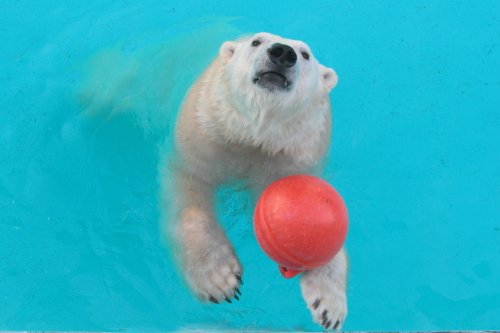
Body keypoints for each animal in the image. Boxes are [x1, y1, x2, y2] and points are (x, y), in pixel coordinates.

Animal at [172, 32, 348, 328]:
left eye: (305, 54)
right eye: (256, 41)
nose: (283, 53)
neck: (255, 137)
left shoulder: (297, 156)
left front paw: (329, 304)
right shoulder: (205, 133)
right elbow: (192, 192)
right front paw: (218, 278)